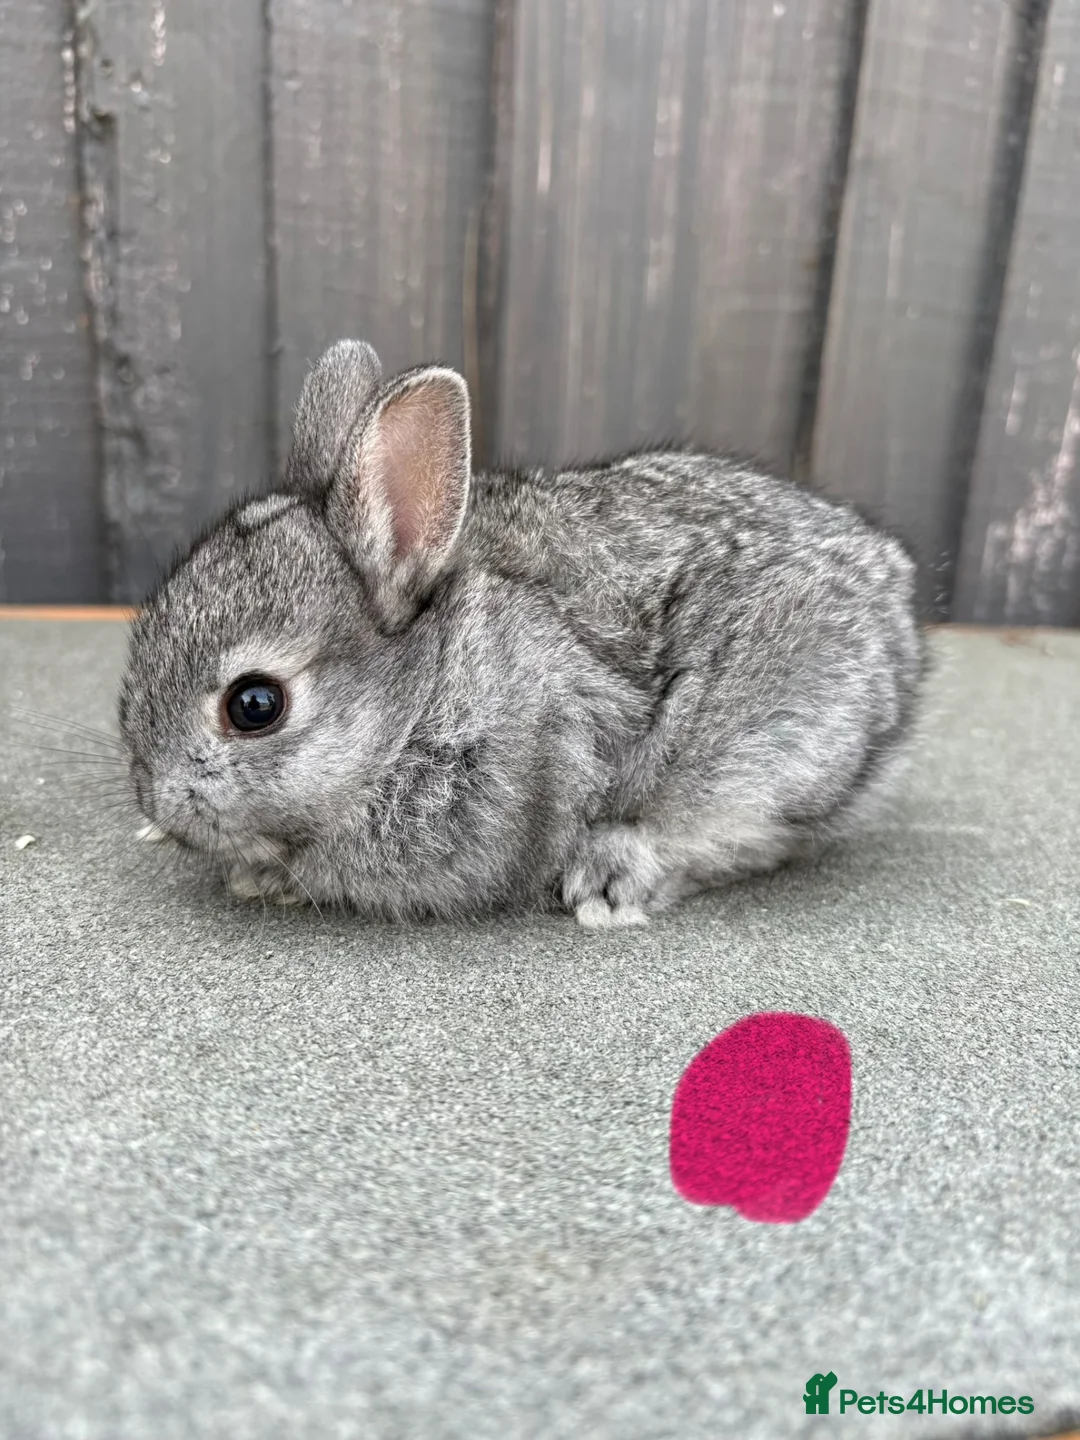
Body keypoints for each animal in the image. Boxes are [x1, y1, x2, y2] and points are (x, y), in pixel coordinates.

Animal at [118, 339, 926, 928]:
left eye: (255, 705)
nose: (157, 803)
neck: (420, 698)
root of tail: (897, 607)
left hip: (775, 745)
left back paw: (607, 882)